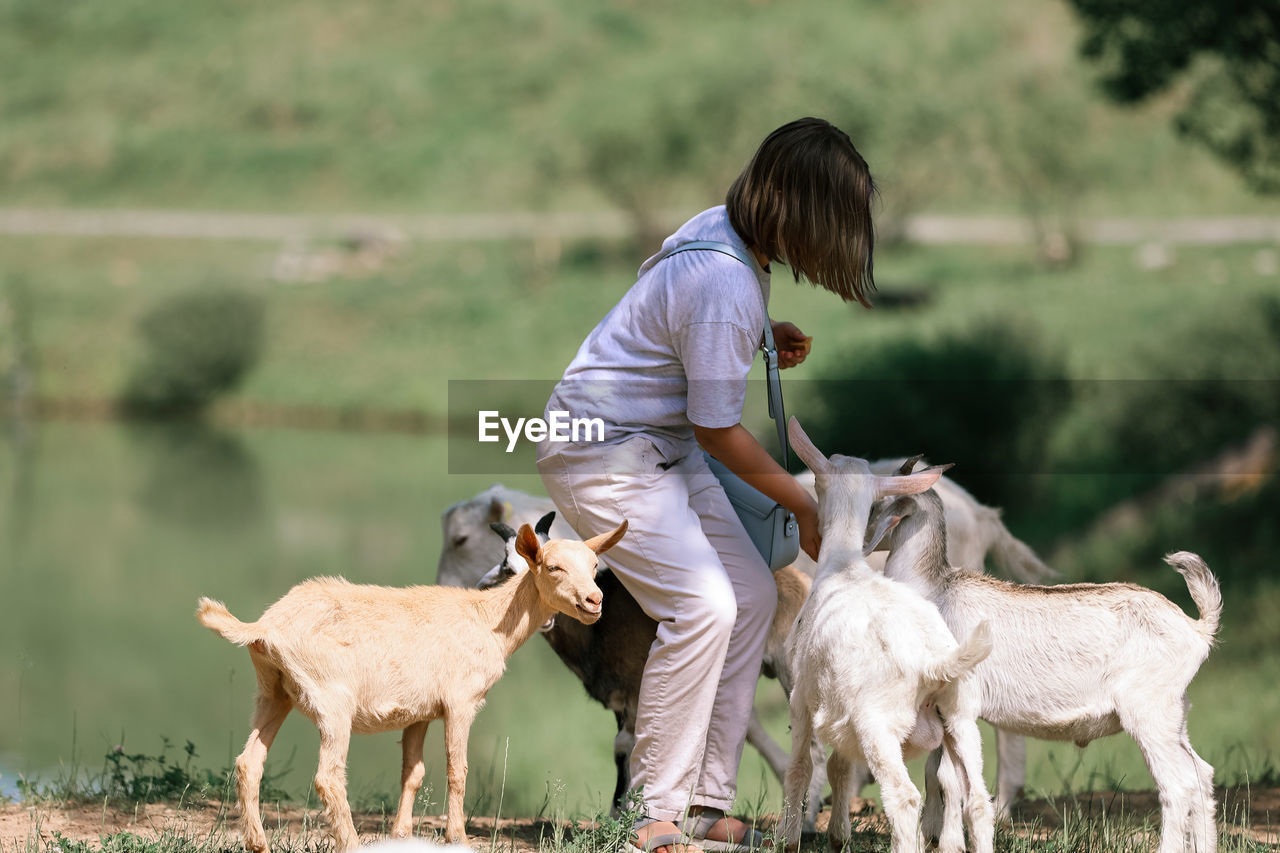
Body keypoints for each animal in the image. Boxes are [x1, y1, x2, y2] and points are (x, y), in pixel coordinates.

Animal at [195, 517, 629, 850]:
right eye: (552, 567)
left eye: (594, 565)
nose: (594, 601)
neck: (489, 620)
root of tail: (265, 626)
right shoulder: (460, 700)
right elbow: (457, 769)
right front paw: (458, 838)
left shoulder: (419, 711)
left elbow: (413, 772)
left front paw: (401, 835)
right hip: (332, 698)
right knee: (328, 776)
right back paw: (350, 843)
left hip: (273, 691)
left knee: (248, 763)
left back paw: (258, 844)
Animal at [773, 417, 993, 850]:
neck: (843, 565)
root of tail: (935, 663)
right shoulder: (839, 709)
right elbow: (840, 767)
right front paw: (838, 836)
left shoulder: (802, 696)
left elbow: (800, 769)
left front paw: (790, 840)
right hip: (961, 717)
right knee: (976, 799)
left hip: (880, 724)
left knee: (904, 797)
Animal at [875, 481, 1223, 850]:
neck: (934, 592)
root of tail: (1198, 628)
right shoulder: (943, 714)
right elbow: (946, 779)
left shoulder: (960, 707)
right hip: (1175, 714)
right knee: (1202, 774)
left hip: (1148, 712)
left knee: (1179, 785)